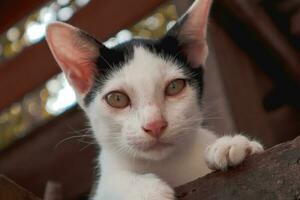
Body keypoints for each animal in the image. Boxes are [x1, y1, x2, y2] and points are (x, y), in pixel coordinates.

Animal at [45, 0, 262, 199]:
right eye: (117, 98)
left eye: (174, 87)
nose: (155, 125)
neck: (166, 165)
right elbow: (111, 184)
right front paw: (143, 190)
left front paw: (234, 145)